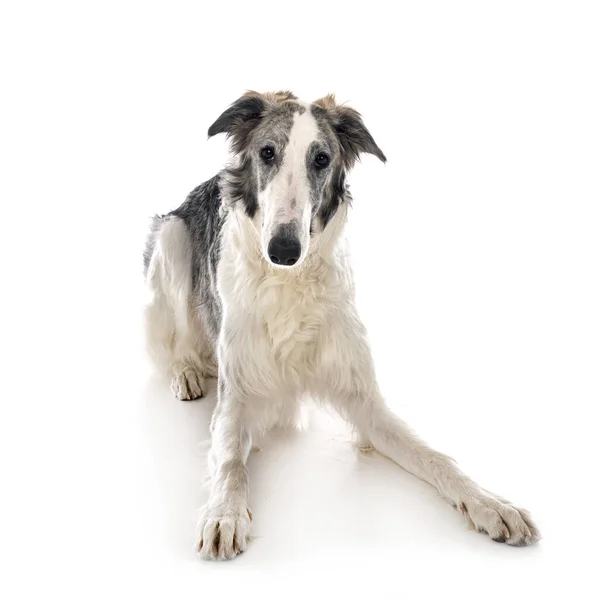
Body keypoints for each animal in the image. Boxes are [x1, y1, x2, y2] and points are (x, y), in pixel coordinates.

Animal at [142, 91, 536, 560]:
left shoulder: (366, 404)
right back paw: (185, 372)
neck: (289, 284)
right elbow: (232, 463)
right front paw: (224, 514)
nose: (284, 250)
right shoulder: (235, 397)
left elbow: (435, 455)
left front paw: (490, 503)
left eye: (321, 159)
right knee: (176, 344)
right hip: (171, 237)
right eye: (267, 153)